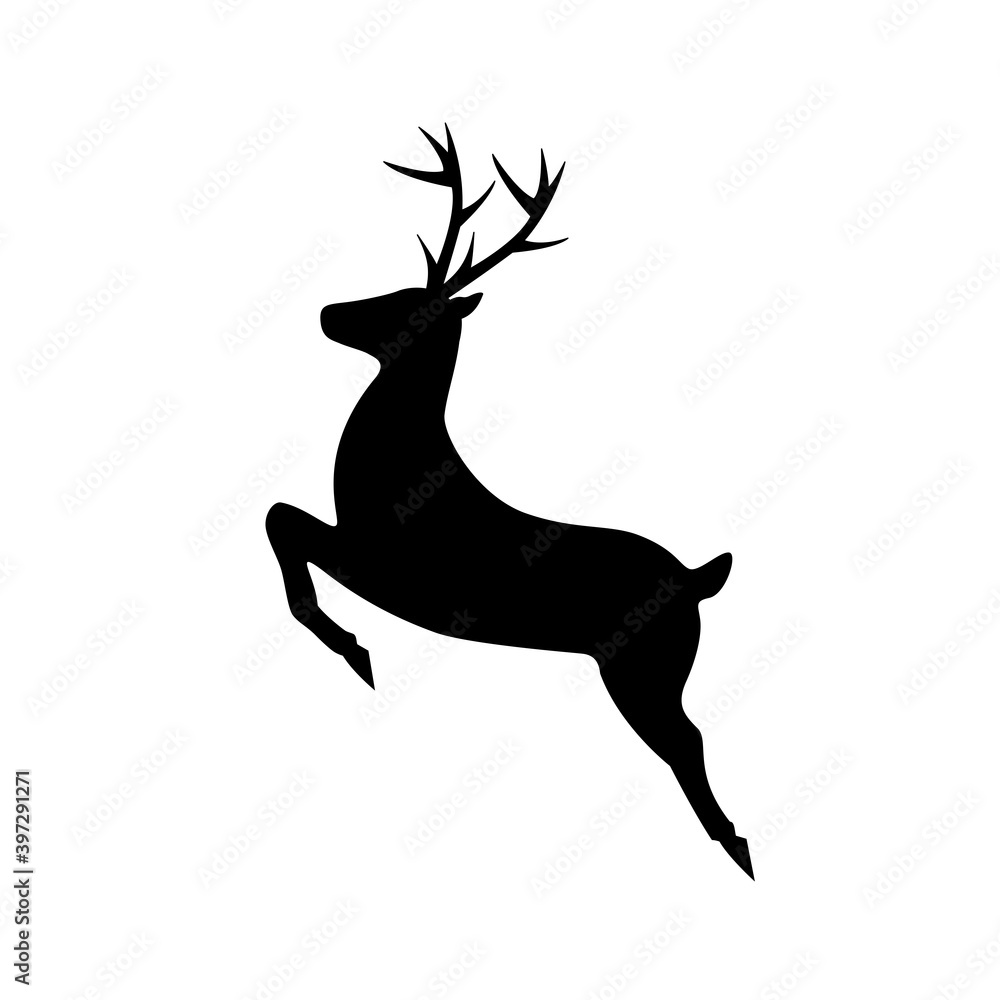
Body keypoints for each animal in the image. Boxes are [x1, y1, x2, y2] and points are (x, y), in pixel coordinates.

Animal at [265, 125, 754, 878]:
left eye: (406, 301)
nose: (329, 312)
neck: (390, 470)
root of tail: (701, 579)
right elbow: (281, 520)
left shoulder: (390, 568)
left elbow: (281, 521)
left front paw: (356, 651)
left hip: (643, 665)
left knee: (686, 738)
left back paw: (734, 845)